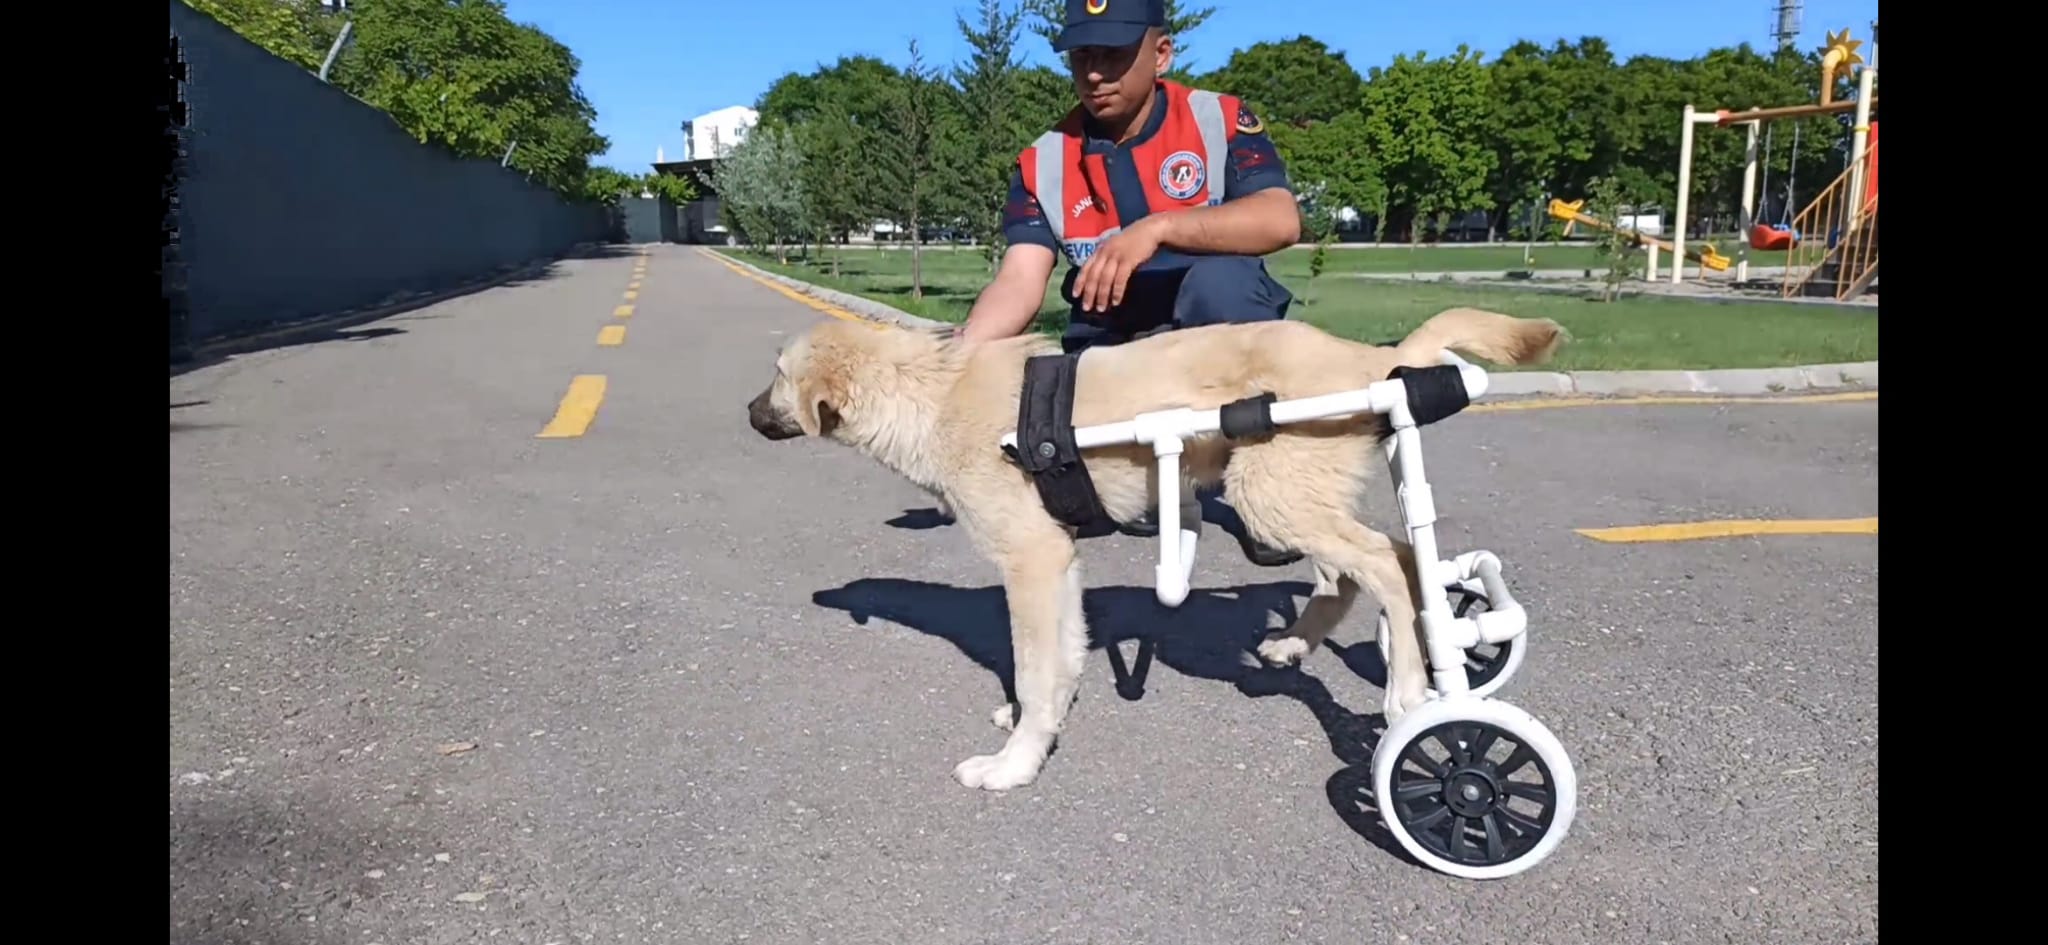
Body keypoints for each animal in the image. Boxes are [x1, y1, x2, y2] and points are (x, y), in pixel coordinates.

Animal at [753, 307, 1564, 787]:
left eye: (778, 376)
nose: (748, 412)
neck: (931, 394)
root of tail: (1374, 357)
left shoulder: (1032, 562)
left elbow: (1036, 668)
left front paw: (1015, 765)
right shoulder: (1058, 565)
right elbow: (1058, 662)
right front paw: (1036, 725)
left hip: (1272, 495)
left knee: (1388, 565)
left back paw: (1410, 690)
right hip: (1296, 496)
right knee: (1376, 561)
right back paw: (1317, 645)